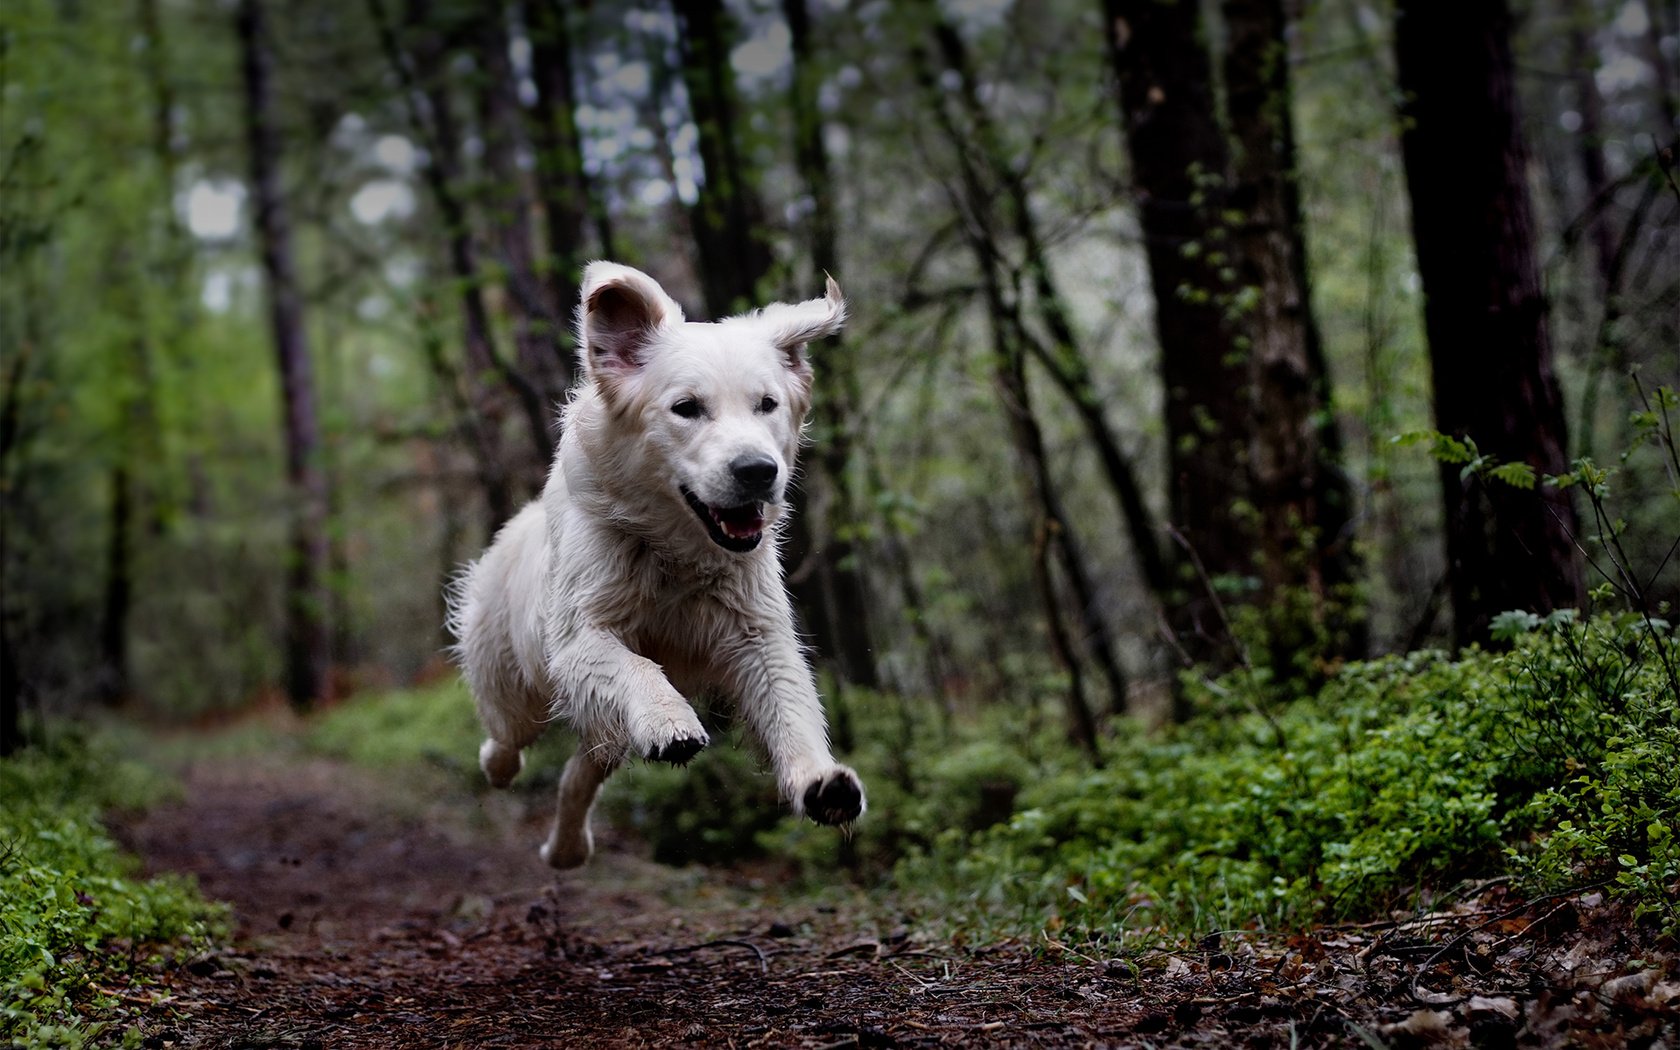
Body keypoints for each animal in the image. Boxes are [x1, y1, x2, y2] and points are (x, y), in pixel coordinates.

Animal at [446, 262, 866, 866]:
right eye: (686, 407)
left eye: (767, 404)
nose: (758, 471)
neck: (674, 553)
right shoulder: (579, 638)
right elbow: (639, 667)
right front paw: (672, 724)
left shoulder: (757, 633)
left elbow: (791, 705)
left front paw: (822, 782)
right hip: (512, 682)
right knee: (507, 737)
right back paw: (501, 770)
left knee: (582, 768)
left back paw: (566, 848)